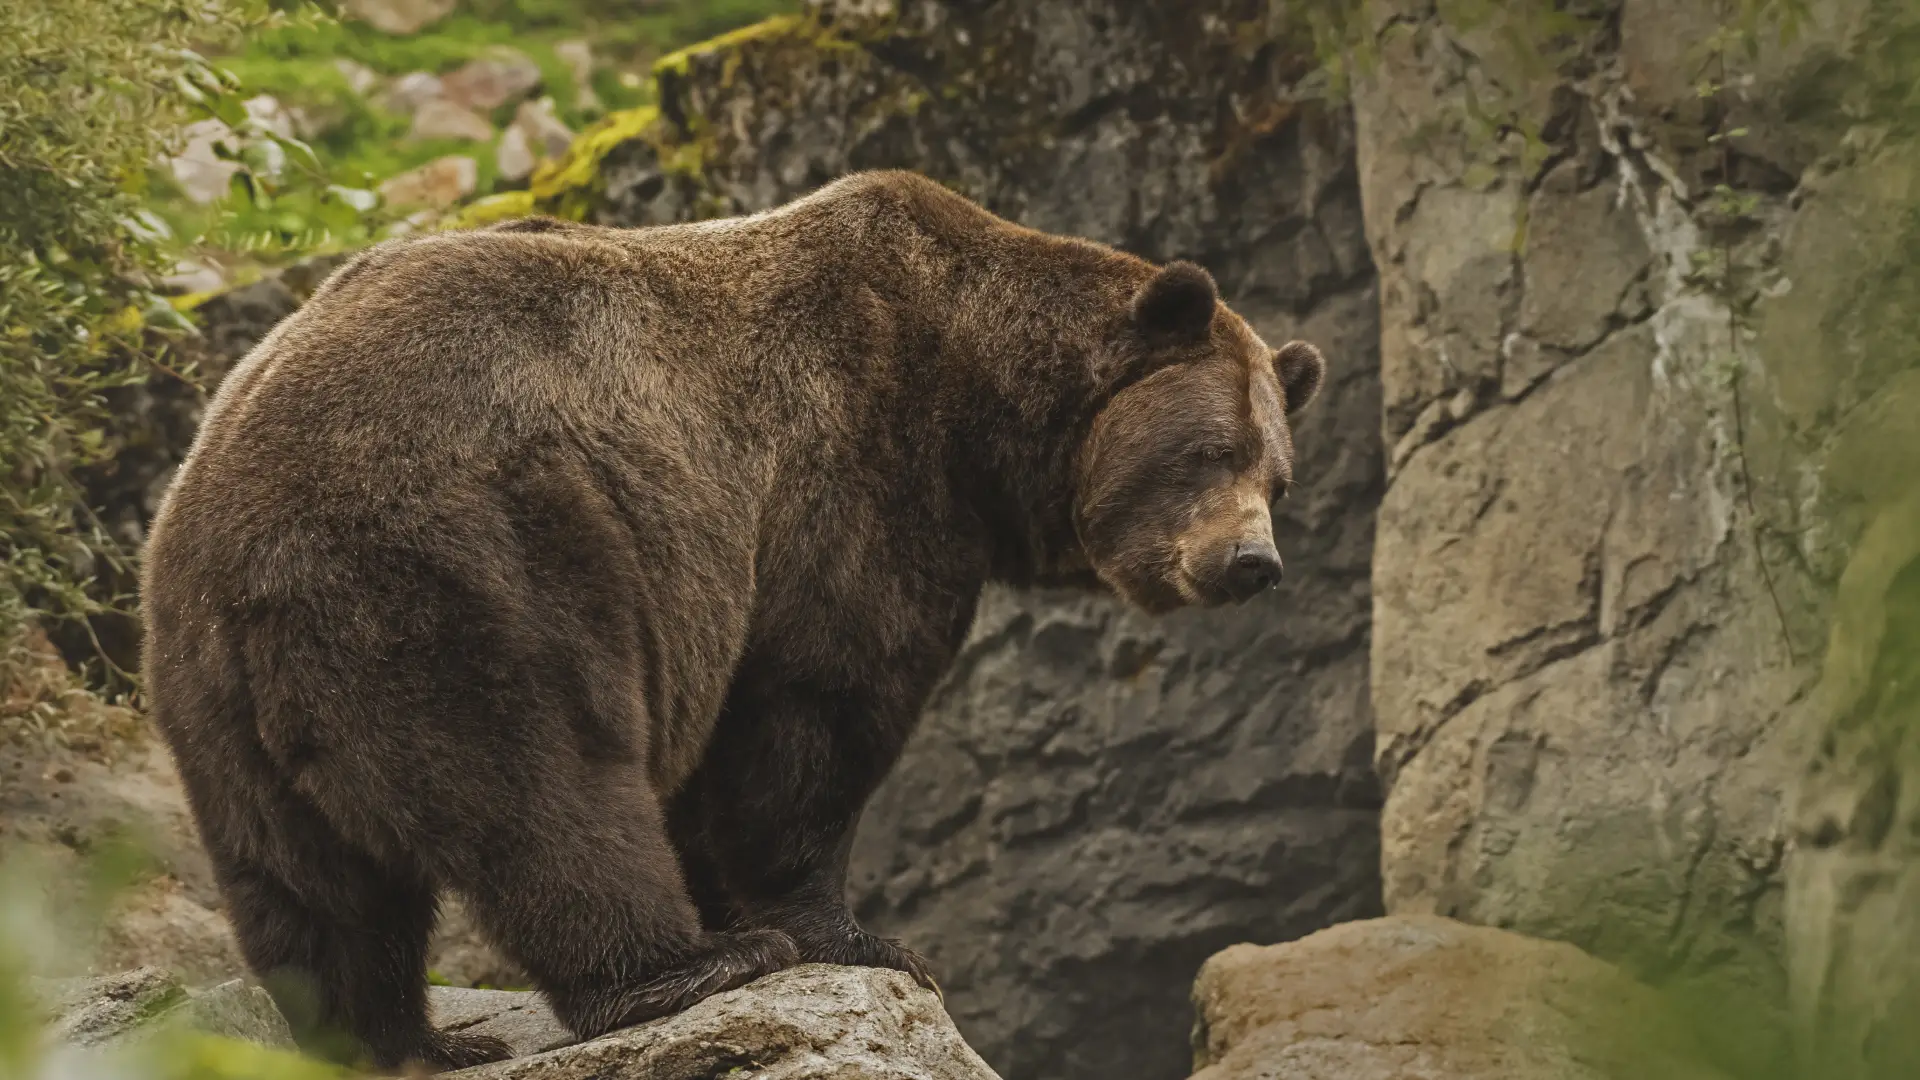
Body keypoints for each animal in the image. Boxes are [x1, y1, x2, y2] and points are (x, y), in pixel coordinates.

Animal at [140, 169, 1328, 1072]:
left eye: (1278, 473)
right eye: (1211, 452)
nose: (1252, 564)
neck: (978, 402)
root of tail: (245, 544)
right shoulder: (849, 474)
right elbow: (815, 713)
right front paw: (858, 937)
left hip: (208, 680)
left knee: (306, 882)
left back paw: (399, 1038)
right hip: (467, 559)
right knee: (543, 783)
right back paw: (680, 971)